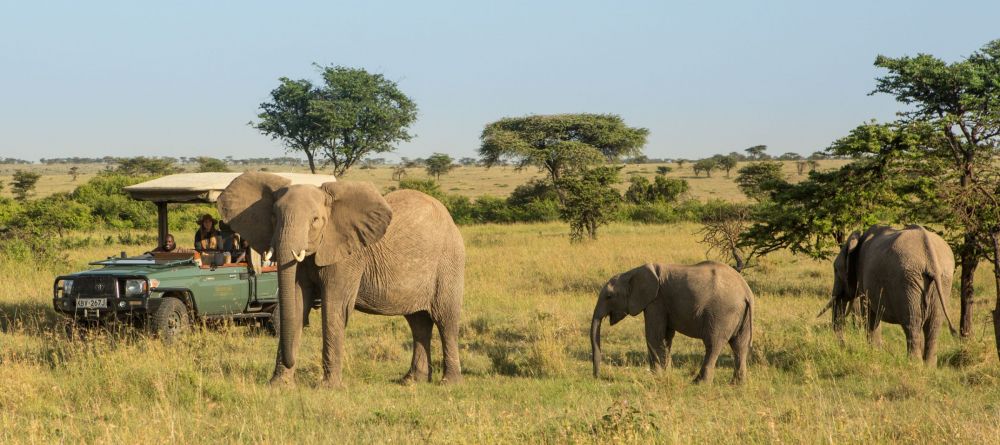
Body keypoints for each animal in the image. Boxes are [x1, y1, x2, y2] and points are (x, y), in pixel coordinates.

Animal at [218, 171, 464, 386]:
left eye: (315, 220)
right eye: (273, 217)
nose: (291, 361)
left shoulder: (347, 254)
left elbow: (334, 306)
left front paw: (328, 387)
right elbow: (296, 304)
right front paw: (279, 385)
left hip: (449, 262)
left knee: (445, 319)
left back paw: (448, 383)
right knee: (418, 322)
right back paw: (411, 381)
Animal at [588, 262, 752, 384]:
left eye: (609, 296)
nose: (597, 377)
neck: (632, 272)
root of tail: (746, 292)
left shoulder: (656, 301)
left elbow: (654, 335)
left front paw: (656, 376)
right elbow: (666, 337)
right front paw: (666, 373)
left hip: (722, 313)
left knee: (713, 344)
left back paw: (699, 382)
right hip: (740, 315)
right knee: (740, 346)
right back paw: (736, 384)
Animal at [820, 224, 960, 366]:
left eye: (836, 270)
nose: (843, 347)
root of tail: (930, 257)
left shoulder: (864, 277)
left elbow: (869, 313)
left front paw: (874, 353)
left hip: (908, 281)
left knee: (913, 323)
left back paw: (913, 364)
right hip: (943, 280)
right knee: (933, 325)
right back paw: (929, 367)